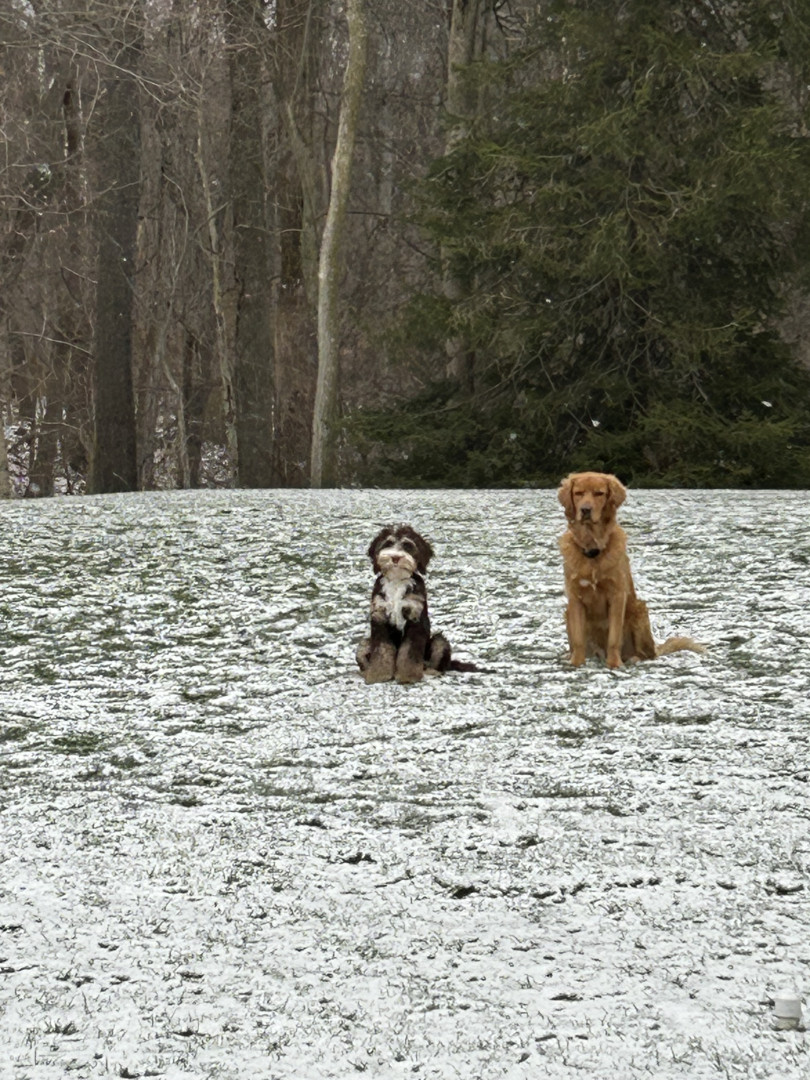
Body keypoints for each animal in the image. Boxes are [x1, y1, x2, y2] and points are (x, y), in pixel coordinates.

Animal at [355, 524, 479, 684]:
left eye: (407, 546)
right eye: (388, 544)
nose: (395, 557)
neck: (397, 582)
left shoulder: (415, 617)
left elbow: (409, 652)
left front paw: (407, 676)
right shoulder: (380, 616)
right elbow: (382, 650)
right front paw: (378, 675)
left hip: (439, 642)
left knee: (438, 662)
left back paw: (429, 672)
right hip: (363, 645)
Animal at [557, 472, 704, 668]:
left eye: (599, 493)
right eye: (578, 493)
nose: (585, 510)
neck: (593, 551)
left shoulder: (617, 596)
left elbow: (614, 638)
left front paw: (614, 665)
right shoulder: (575, 598)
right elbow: (579, 640)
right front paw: (576, 663)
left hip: (639, 611)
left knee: (646, 654)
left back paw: (635, 658)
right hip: (567, 614)